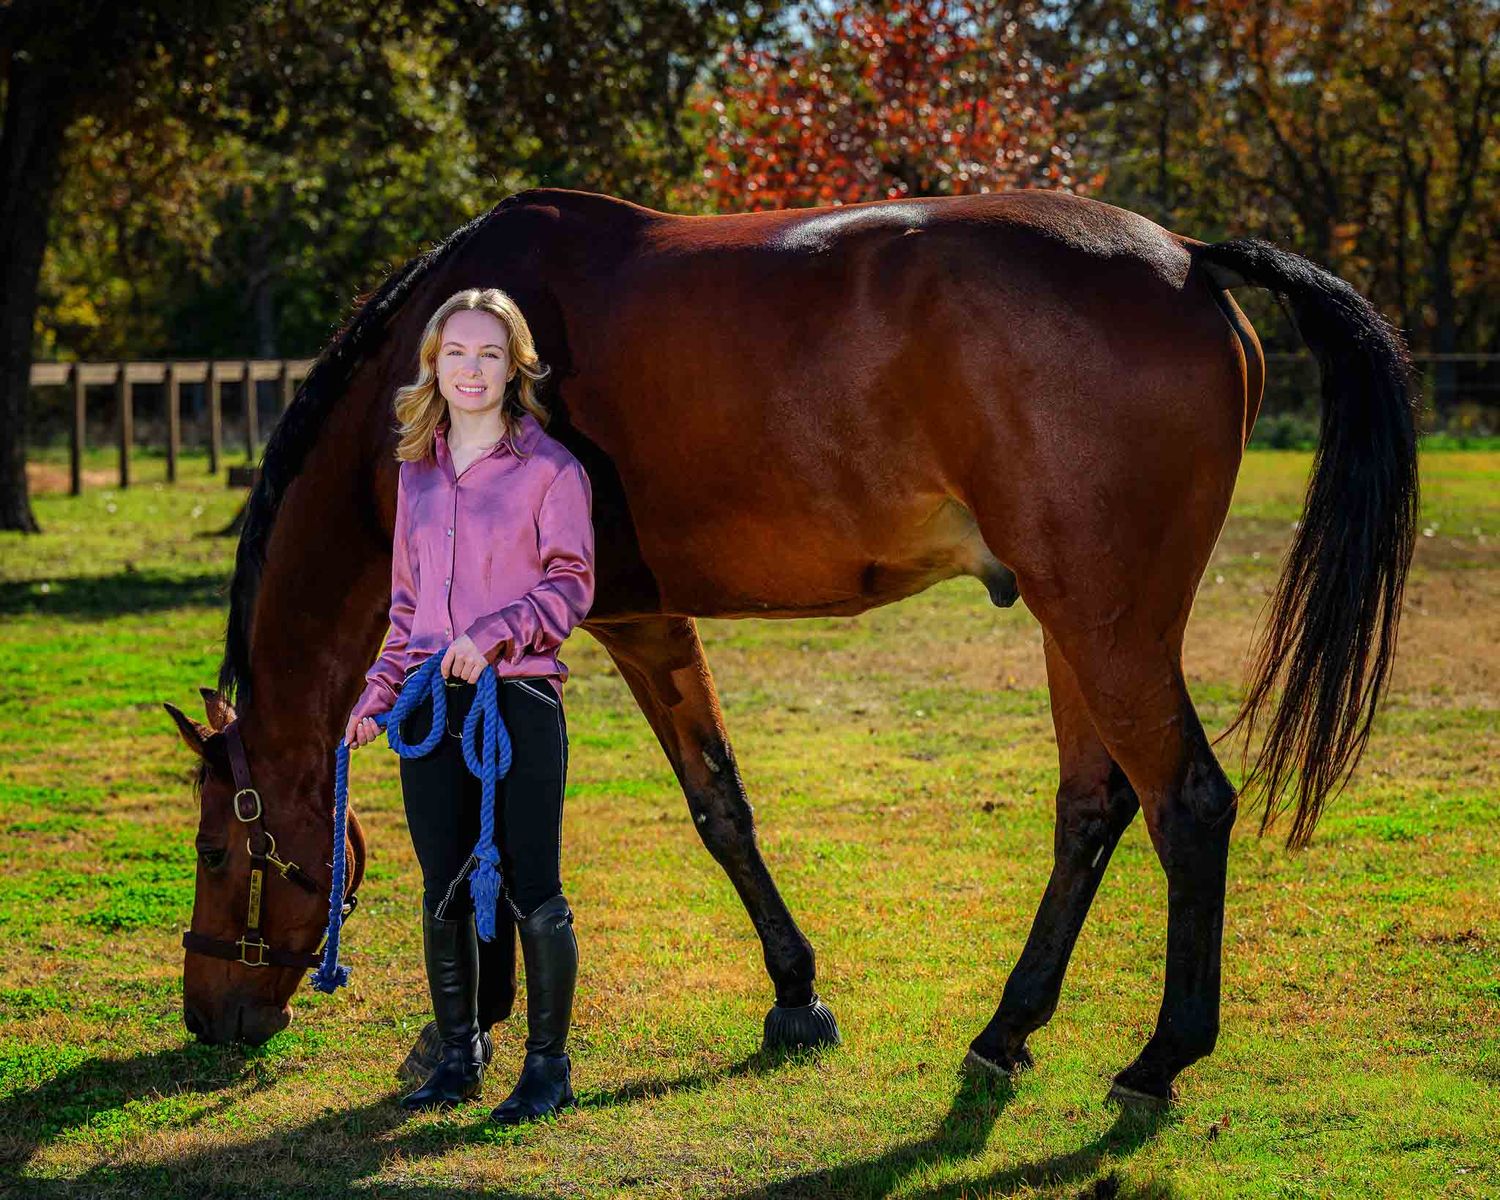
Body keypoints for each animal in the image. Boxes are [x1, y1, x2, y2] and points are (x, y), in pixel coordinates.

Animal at [164, 186, 1417, 1103]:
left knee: (1188, 805)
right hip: (1078, 624)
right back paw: (1006, 1029)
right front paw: (792, 996)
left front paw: (470, 1030)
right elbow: (697, 805)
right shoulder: (625, 627)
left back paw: (1160, 1059)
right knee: (1093, 810)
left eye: (219, 852)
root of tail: (1191, 258)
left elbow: (591, 821)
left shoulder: (599, 624)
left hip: (1110, 622)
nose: (208, 1017)